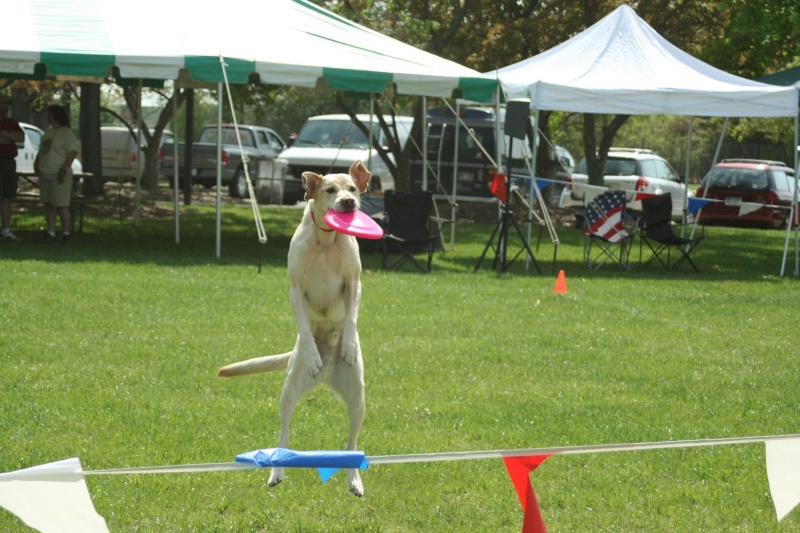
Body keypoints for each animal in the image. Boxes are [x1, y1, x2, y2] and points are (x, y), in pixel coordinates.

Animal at [217, 160, 370, 496]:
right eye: (330, 190)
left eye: (353, 189)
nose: (349, 202)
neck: (326, 241)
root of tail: (327, 376)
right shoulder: (295, 289)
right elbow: (302, 319)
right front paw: (313, 355)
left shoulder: (354, 282)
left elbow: (351, 316)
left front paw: (349, 344)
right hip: (289, 390)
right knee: (284, 432)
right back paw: (277, 470)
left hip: (357, 397)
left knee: (352, 440)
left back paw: (354, 478)